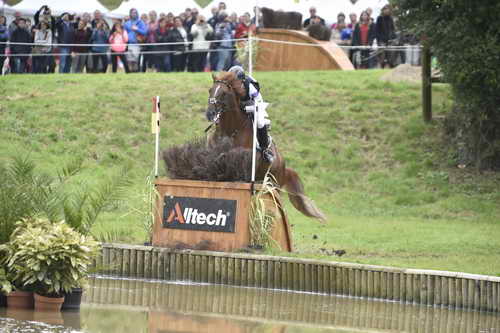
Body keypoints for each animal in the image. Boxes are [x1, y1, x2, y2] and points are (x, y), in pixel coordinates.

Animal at [205, 71, 326, 222]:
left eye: (224, 93)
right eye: (210, 90)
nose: (209, 114)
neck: (230, 131)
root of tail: (284, 166)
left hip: (274, 185)